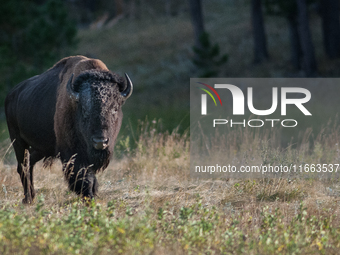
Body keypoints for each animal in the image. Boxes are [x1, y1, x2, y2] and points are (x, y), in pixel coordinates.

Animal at [5, 55, 133, 203]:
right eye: (84, 110)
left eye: (115, 109)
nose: (100, 141)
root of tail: (11, 94)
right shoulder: (72, 152)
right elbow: (84, 177)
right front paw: (89, 198)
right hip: (18, 141)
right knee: (23, 166)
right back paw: (28, 199)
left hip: (41, 148)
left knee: (28, 164)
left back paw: (31, 197)